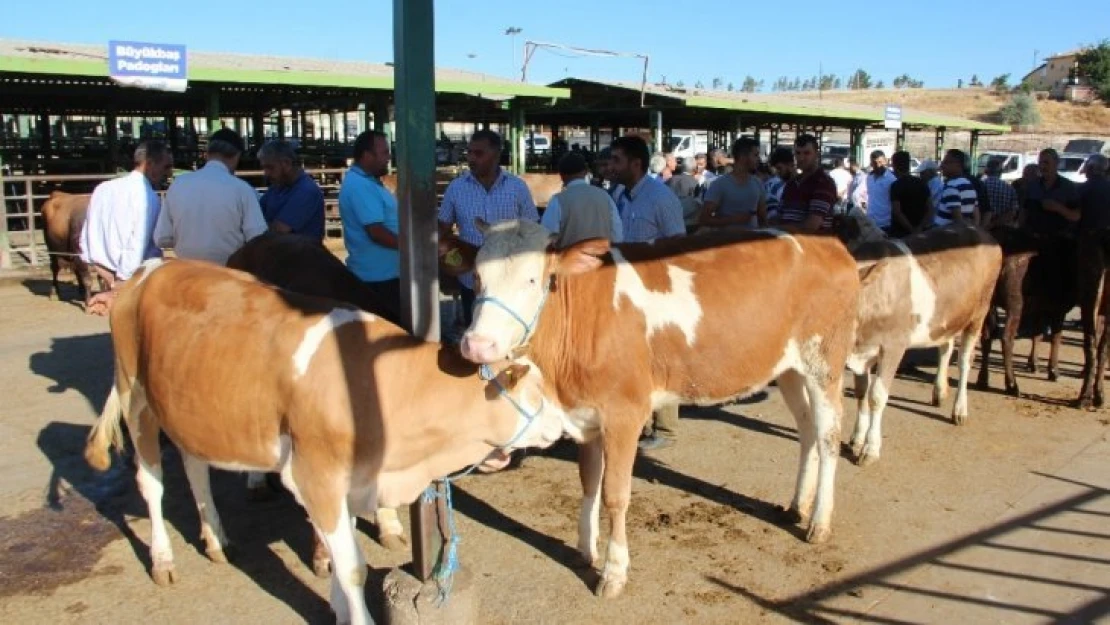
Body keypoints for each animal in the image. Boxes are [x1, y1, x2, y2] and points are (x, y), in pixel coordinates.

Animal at [84, 259, 572, 625]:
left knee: (196, 469)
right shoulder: (315, 475)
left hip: (190, 408)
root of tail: (151, 267)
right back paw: (164, 560)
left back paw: (217, 540)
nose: (565, 424)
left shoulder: (353, 478)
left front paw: (338, 608)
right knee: (152, 484)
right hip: (135, 395)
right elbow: (353, 566)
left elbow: (344, 555)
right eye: (536, 391)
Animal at [455, 218, 861, 595]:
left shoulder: (624, 412)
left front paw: (613, 573)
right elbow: (589, 482)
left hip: (825, 361)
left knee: (828, 436)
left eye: (532, 279)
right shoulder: (587, 413)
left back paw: (819, 522)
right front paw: (585, 550)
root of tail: (829, 243)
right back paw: (797, 506)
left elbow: (615, 494)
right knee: (807, 430)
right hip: (788, 367)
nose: (477, 345)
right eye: (476, 276)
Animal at [834, 215, 1003, 464]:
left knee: (965, 361)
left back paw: (960, 410)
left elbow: (876, 396)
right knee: (945, 346)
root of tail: (978, 228)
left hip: (978, 313)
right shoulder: (862, 351)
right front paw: (856, 438)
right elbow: (861, 392)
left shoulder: (893, 346)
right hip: (946, 318)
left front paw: (870, 449)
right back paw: (939, 392)